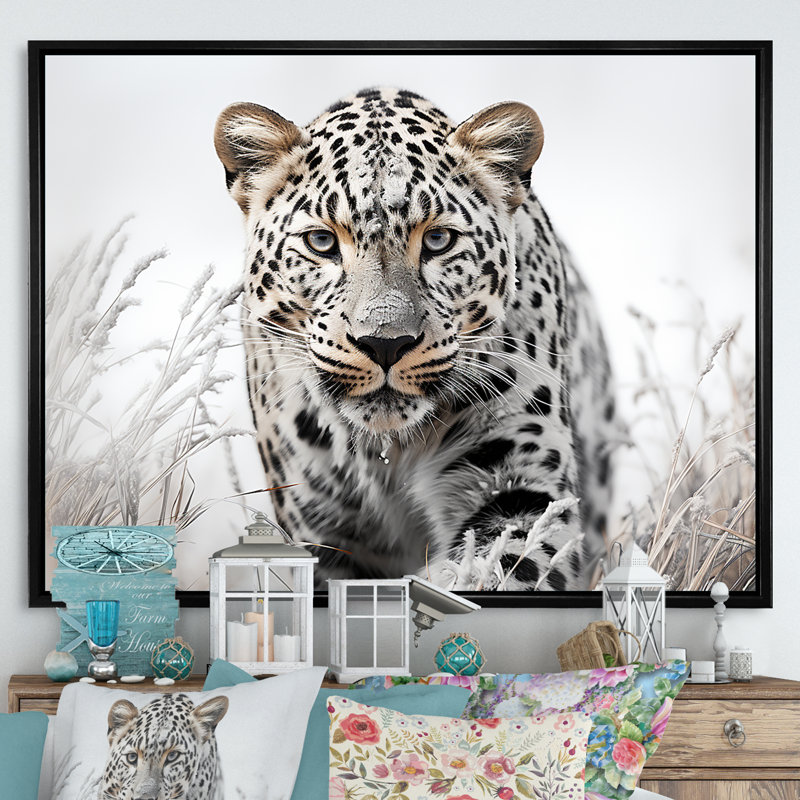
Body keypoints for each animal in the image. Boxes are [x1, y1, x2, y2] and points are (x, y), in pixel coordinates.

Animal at [214, 87, 618, 591]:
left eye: (439, 240)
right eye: (321, 243)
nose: (385, 343)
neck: (387, 454)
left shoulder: (521, 479)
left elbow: (499, 566)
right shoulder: (319, 524)